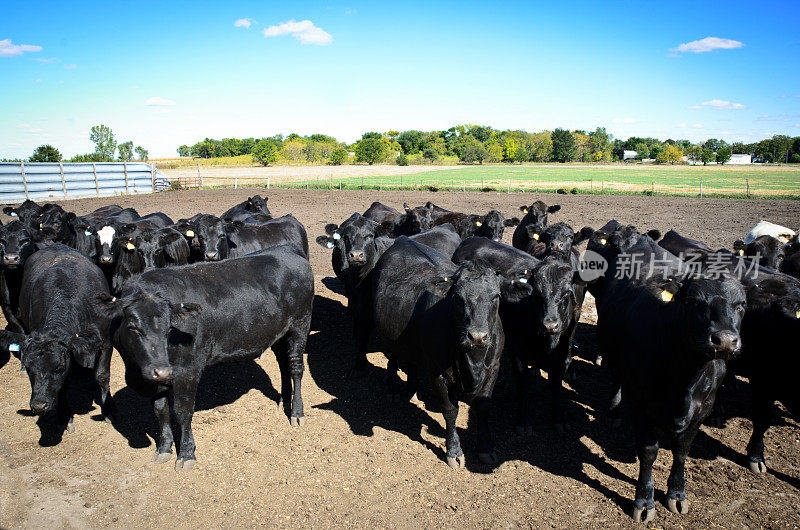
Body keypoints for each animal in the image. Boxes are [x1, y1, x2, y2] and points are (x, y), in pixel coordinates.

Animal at [1, 245, 117, 432]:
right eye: (28, 367)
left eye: (59, 367)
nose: (39, 405)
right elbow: (62, 386)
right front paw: (64, 416)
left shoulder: (105, 342)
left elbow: (102, 376)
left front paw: (108, 410)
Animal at [100, 243, 312, 470]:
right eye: (132, 326)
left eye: (169, 328)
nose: (162, 370)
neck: (134, 369)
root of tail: (285, 249)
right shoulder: (157, 377)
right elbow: (160, 409)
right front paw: (164, 448)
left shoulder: (187, 370)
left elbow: (182, 411)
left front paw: (186, 454)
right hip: (279, 333)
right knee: (283, 363)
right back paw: (284, 399)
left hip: (300, 325)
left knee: (295, 367)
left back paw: (297, 412)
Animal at [368, 237, 532, 464]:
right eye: (457, 297)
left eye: (496, 296)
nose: (477, 336)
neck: (473, 361)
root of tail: (403, 239)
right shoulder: (437, 372)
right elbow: (450, 410)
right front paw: (454, 451)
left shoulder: (494, 368)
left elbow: (483, 408)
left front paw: (485, 447)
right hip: (388, 333)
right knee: (393, 356)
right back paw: (393, 388)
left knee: (411, 360)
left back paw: (413, 389)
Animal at [454, 237, 584, 432]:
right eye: (536, 293)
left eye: (566, 293)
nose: (550, 325)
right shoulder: (516, 351)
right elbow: (523, 385)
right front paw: (523, 421)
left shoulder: (562, 354)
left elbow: (556, 386)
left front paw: (558, 419)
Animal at [592, 234, 744, 520]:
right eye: (693, 301)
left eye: (741, 305)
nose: (725, 340)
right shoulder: (639, 403)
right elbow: (649, 451)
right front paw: (644, 500)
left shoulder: (704, 407)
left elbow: (682, 450)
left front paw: (677, 493)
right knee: (616, 380)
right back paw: (613, 413)